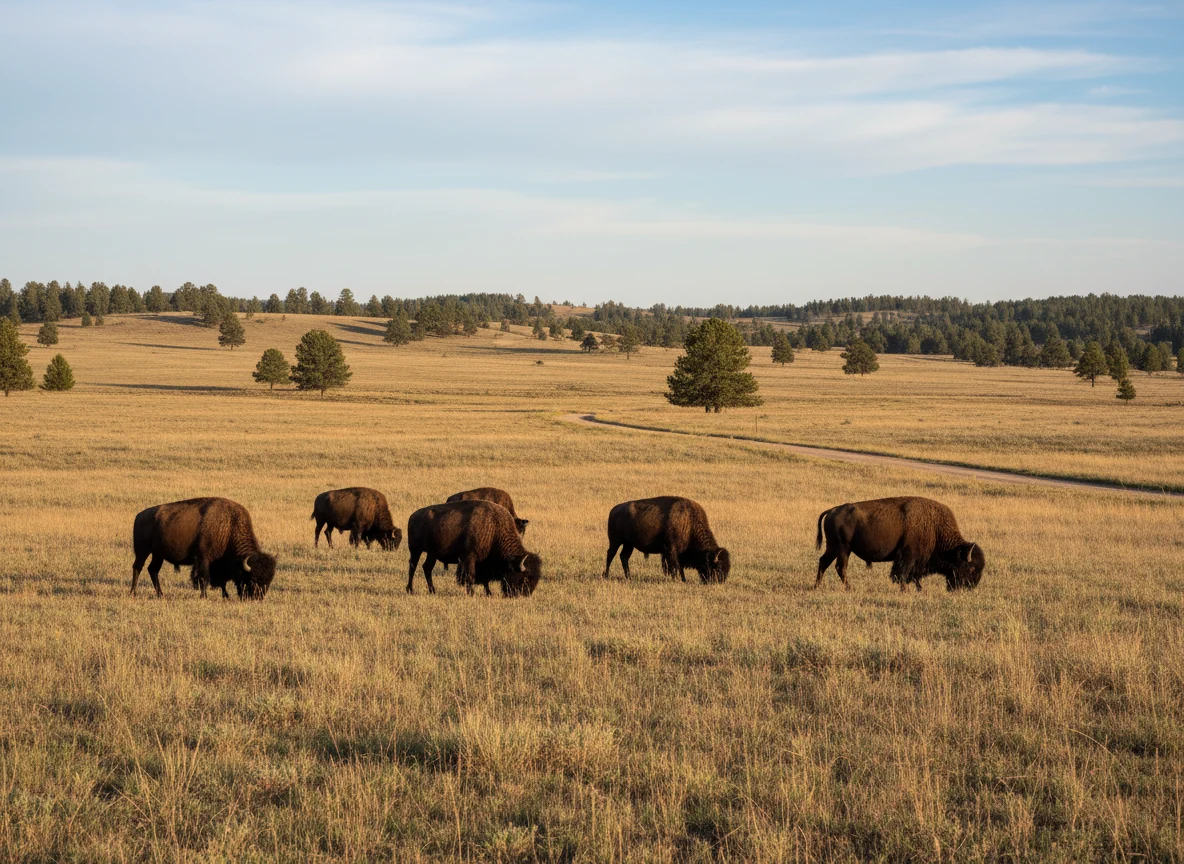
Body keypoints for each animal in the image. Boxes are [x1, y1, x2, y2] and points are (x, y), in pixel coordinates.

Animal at [131, 497, 277, 599]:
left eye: (269, 580)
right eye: (252, 579)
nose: (257, 597)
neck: (229, 527)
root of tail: (139, 515)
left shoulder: (218, 564)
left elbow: (221, 581)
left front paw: (226, 595)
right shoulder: (204, 559)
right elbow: (204, 578)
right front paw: (204, 596)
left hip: (158, 554)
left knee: (153, 570)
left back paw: (160, 594)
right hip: (142, 551)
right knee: (138, 567)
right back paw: (133, 592)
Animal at [406, 500, 541, 597]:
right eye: (525, 578)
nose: (525, 594)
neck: (494, 528)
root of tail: (413, 516)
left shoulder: (483, 561)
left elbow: (484, 579)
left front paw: (488, 593)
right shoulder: (469, 557)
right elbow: (470, 575)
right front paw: (471, 593)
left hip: (432, 554)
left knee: (427, 568)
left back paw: (432, 591)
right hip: (415, 550)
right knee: (413, 567)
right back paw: (410, 590)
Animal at [815, 496, 984, 592]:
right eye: (971, 568)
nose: (971, 587)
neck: (935, 527)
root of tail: (832, 510)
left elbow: (914, 576)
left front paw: (919, 589)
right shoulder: (908, 556)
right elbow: (903, 574)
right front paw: (905, 590)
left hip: (833, 548)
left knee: (823, 562)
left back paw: (817, 586)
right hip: (843, 549)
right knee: (840, 567)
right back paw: (849, 588)